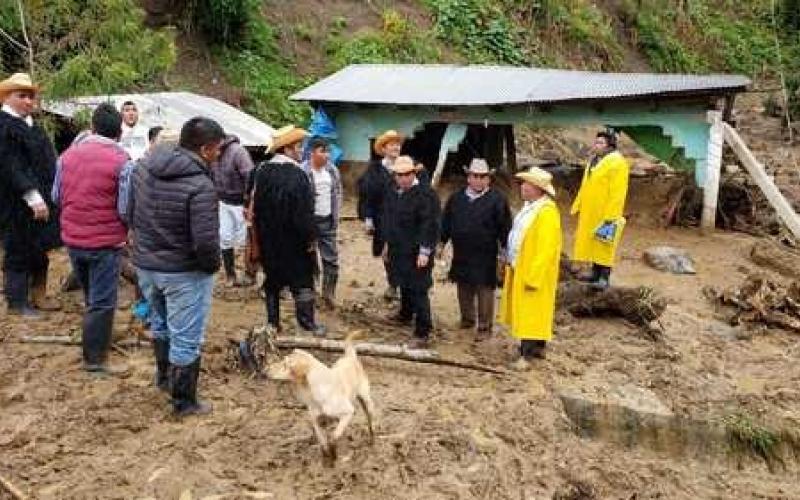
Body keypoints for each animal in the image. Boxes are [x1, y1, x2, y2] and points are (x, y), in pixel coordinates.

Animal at [268, 332, 376, 460]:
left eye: (285, 364)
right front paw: (328, 459)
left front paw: (334, 453)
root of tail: (350, 356)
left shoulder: (348, 412)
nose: (266, 369)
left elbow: (334, 436)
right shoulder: (316, 421)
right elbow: (323, 443)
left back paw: (372, 440)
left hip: (366, 401)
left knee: (370, 422)